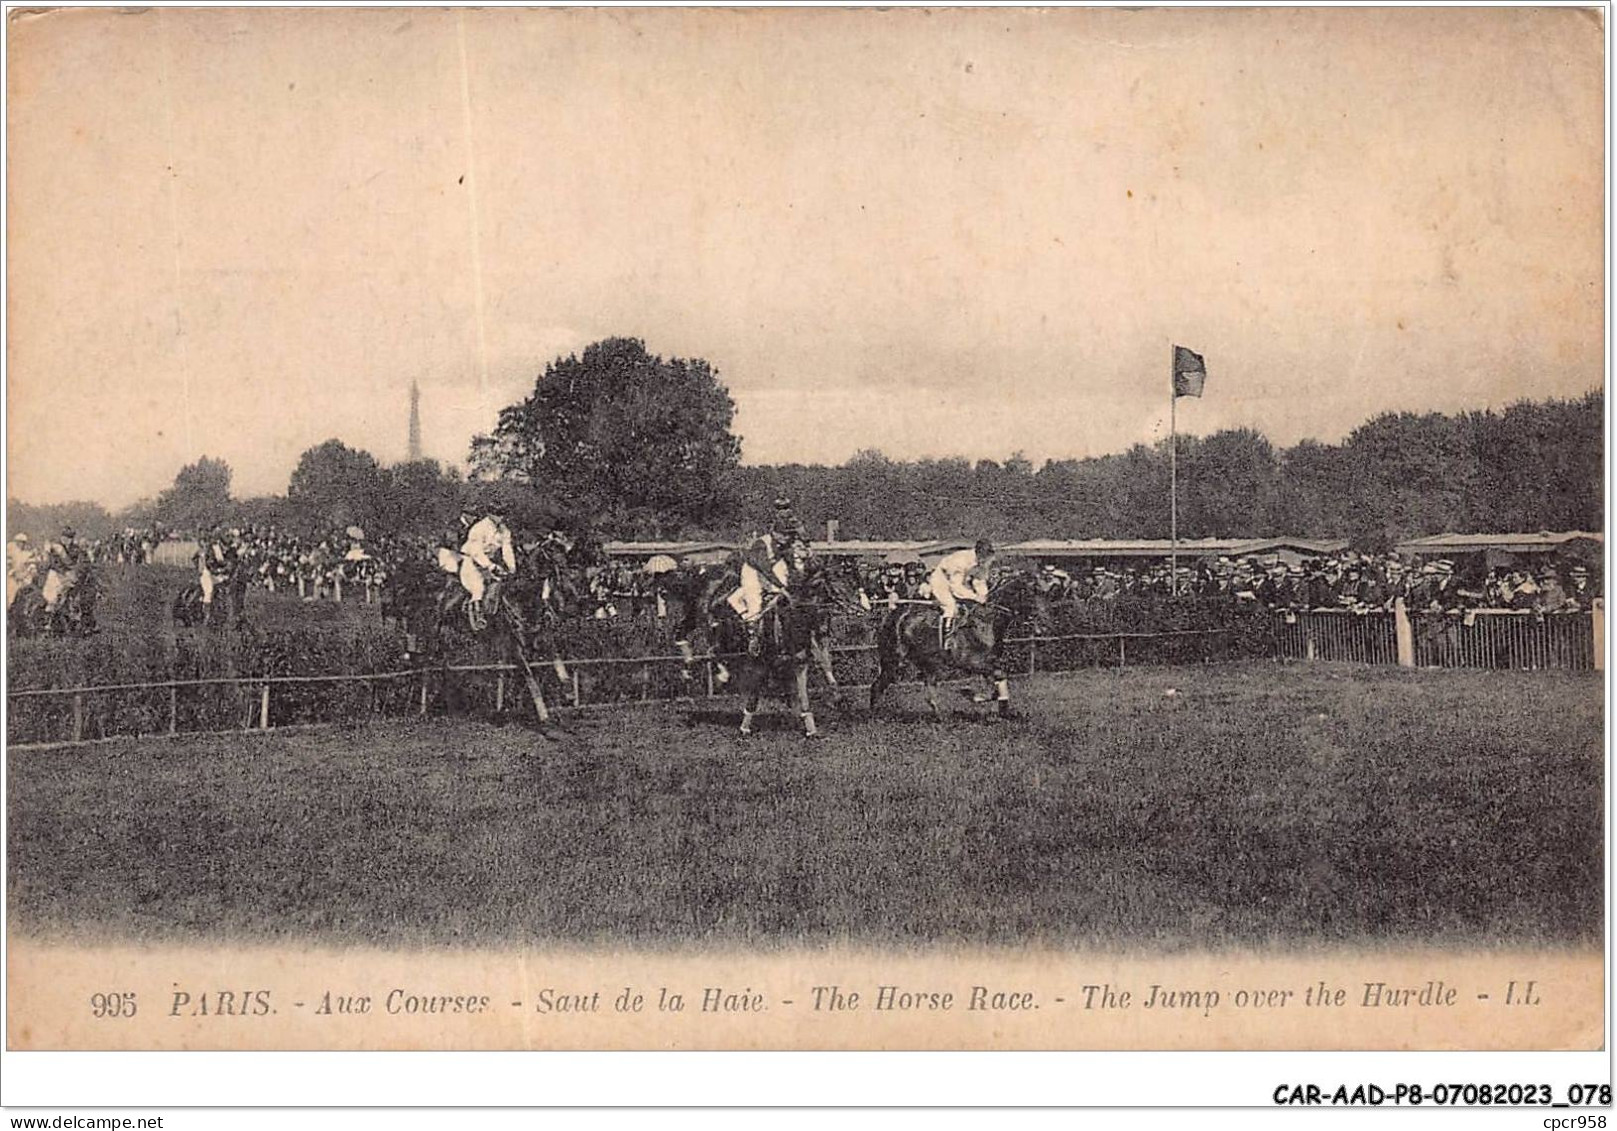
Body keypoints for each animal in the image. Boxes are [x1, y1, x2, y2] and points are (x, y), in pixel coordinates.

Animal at [866, 569, 1054, 721]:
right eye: (1032, 592)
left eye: (1046, 593)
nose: (1045, 624)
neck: (988, 621)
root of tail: (892, 616)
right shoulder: (973, 663)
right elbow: (997, 681)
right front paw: (971, 694)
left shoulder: (990, 662)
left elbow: (998, 684)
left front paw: (1002, 710)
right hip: (894, 660)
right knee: (877, 686)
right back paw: (875, 716)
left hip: (927, 662)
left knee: (929, 689)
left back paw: (941, 716)